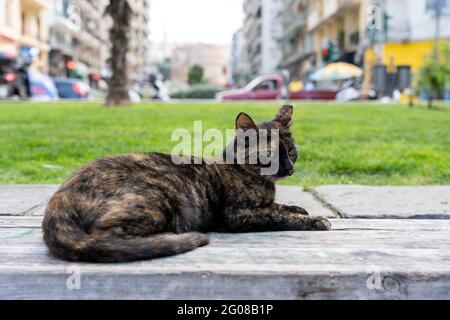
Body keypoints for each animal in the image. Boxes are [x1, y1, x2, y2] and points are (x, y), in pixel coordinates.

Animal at [43, 106, 330, 262]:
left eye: (292, 152)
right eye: (270, 155)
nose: (289, 169)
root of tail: (60, 196)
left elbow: (278, 206)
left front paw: (298, 208)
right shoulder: (238, 214)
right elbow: (274, 214)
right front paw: (314, 220)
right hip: (161, 196)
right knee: (106, 238)